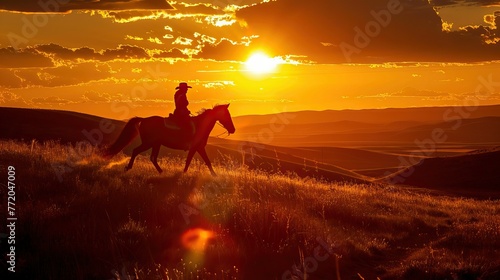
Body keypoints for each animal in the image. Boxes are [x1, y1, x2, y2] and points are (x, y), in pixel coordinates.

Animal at [103, 104, 236, 176]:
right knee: (136, 151)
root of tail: (144, 119)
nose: (233, 129)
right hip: (148, 143)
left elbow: (201, 161)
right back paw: (128, 167)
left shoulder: (197, 148)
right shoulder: (197, 147)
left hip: (156, 144)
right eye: (227, 115)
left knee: (153, 158)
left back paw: (161, 171)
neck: (200, 125)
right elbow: (198, 161)